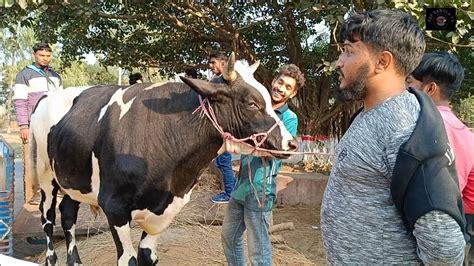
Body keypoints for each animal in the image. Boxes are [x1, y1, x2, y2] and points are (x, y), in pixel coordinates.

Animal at [28, 54, 296, 266]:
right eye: (251, 103)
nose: (291, 143)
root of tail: (48, 96)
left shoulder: (165, 212)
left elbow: (147, 256)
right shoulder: (114, 207)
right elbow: (129, 260)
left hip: (73, 177)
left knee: (68, 214)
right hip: (45, 174)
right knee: (48, 218)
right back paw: (51, 258)